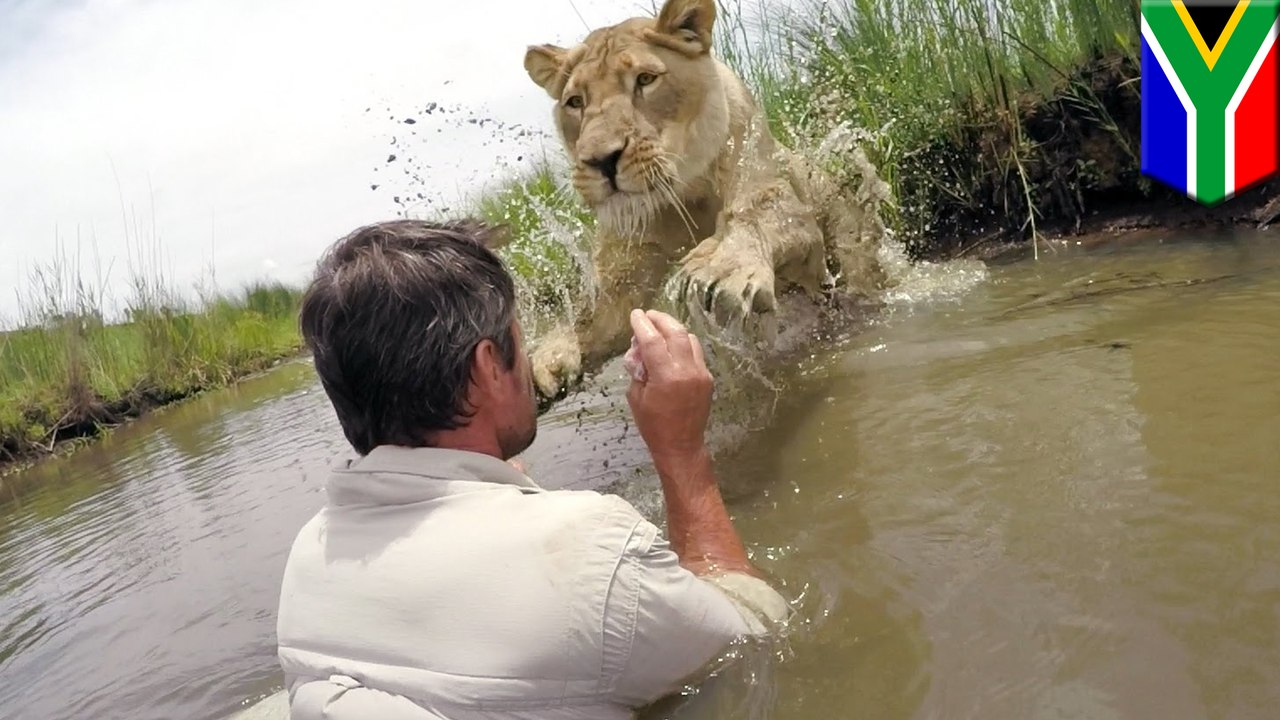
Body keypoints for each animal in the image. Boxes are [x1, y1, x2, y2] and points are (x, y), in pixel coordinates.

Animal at [522, 0, 890, 410]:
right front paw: (549, 359)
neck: (685, 193)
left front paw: (720, 268)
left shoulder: (786, 210)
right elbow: (593, 315)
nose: (601, 160)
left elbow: (754, 215)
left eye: (645, 79)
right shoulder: (628, 264)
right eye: (575, 102)